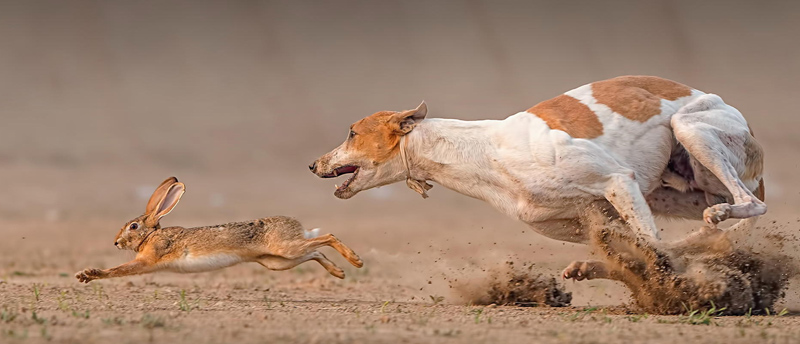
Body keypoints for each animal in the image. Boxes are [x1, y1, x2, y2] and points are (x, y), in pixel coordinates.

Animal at [310, 74, 764, 280]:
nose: (313, 165)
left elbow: (651, 247)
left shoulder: (618, 180)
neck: (486, 151)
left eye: (352, 132)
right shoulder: (591, 219)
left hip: (692, 131)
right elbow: (640, 248)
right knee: (702, 233)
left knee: (751, 204)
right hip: (672, 193)